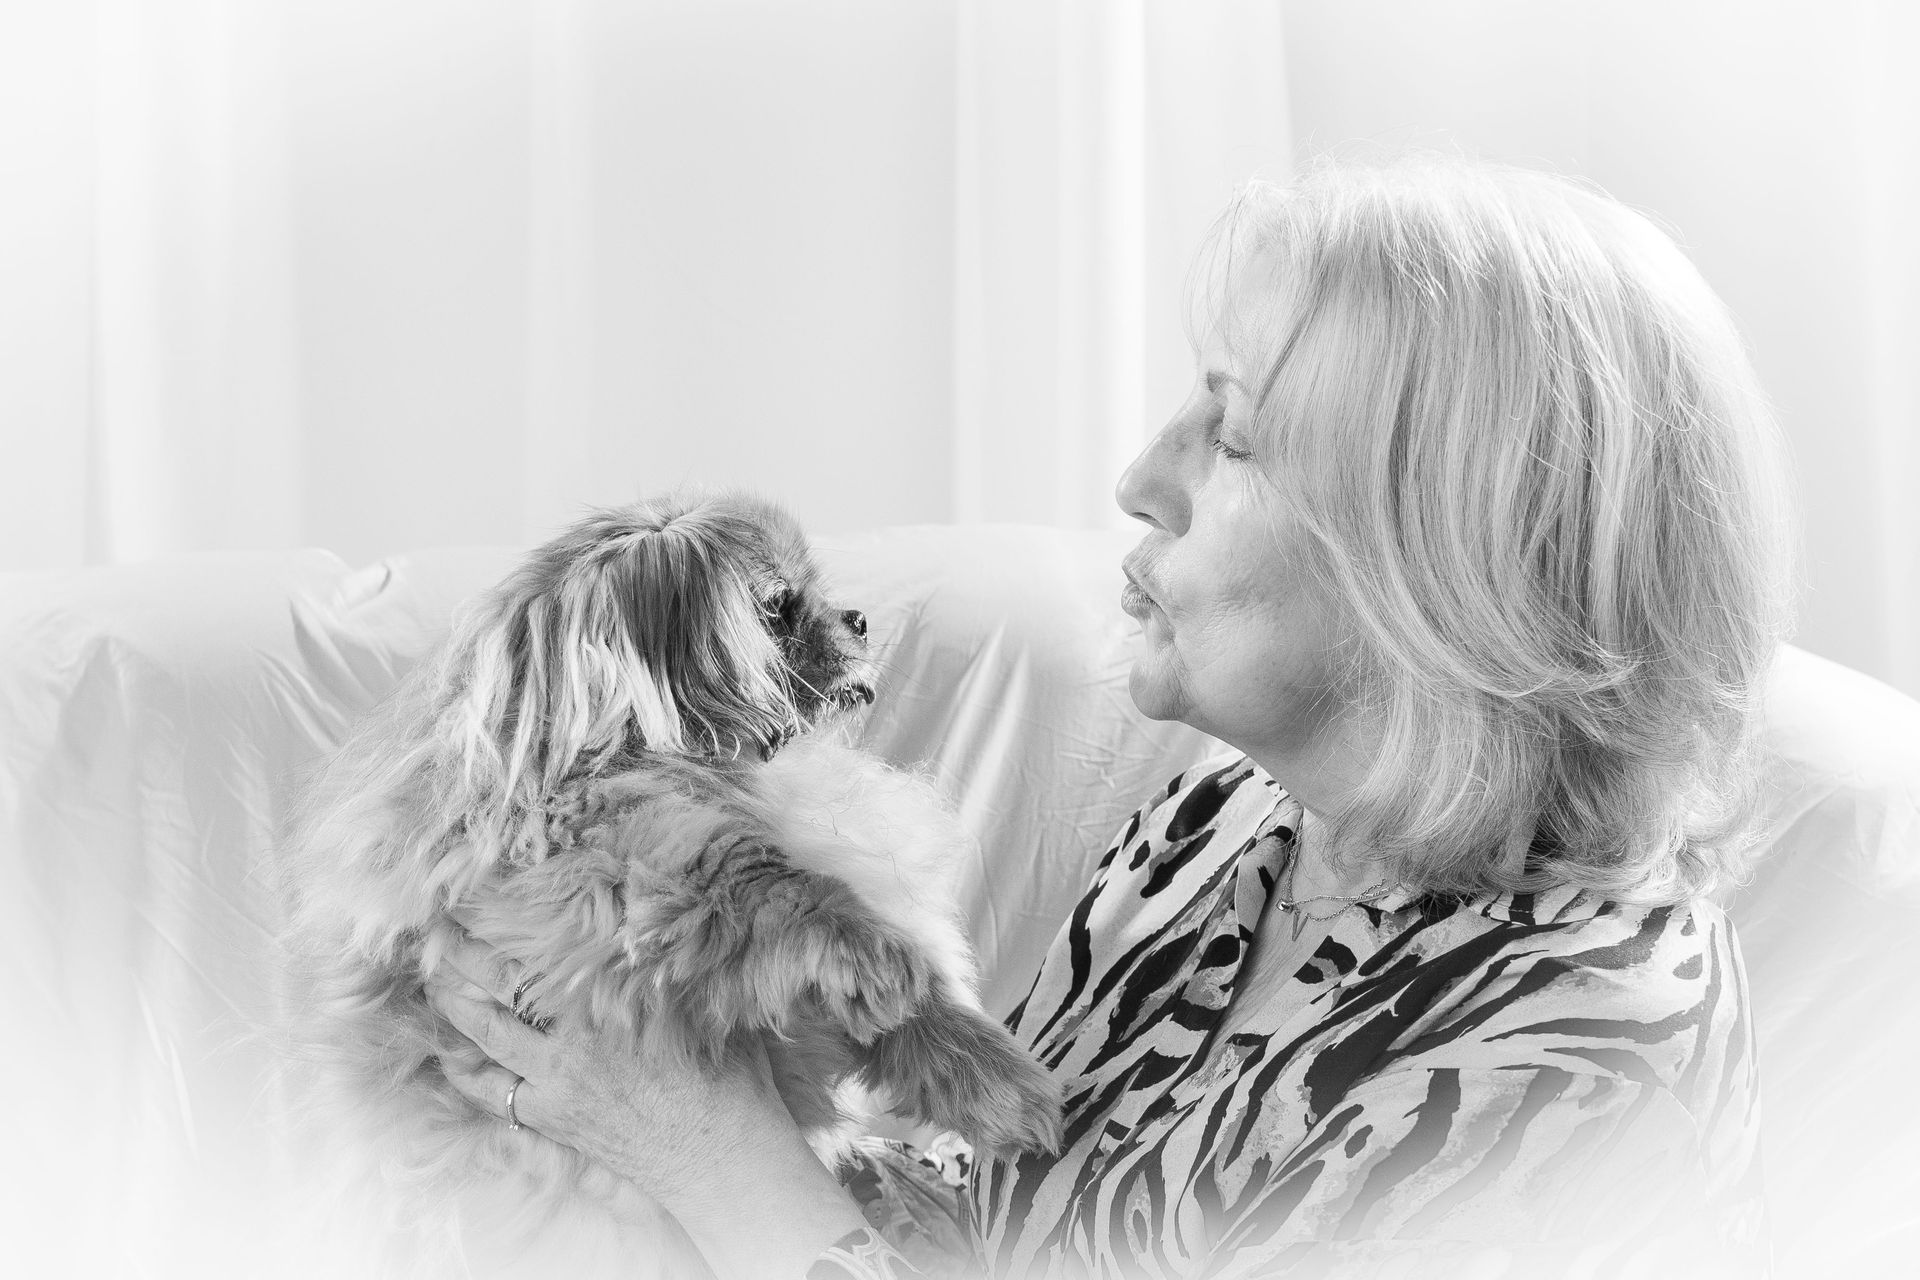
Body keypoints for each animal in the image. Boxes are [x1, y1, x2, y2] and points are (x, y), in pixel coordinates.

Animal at [278, 491, 1061, 1267]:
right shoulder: (613, 868)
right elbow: (776, 883)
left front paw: (1003, 1087)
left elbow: (924, 1014)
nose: (860, 618)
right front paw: (875, 953)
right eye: (778, 608)